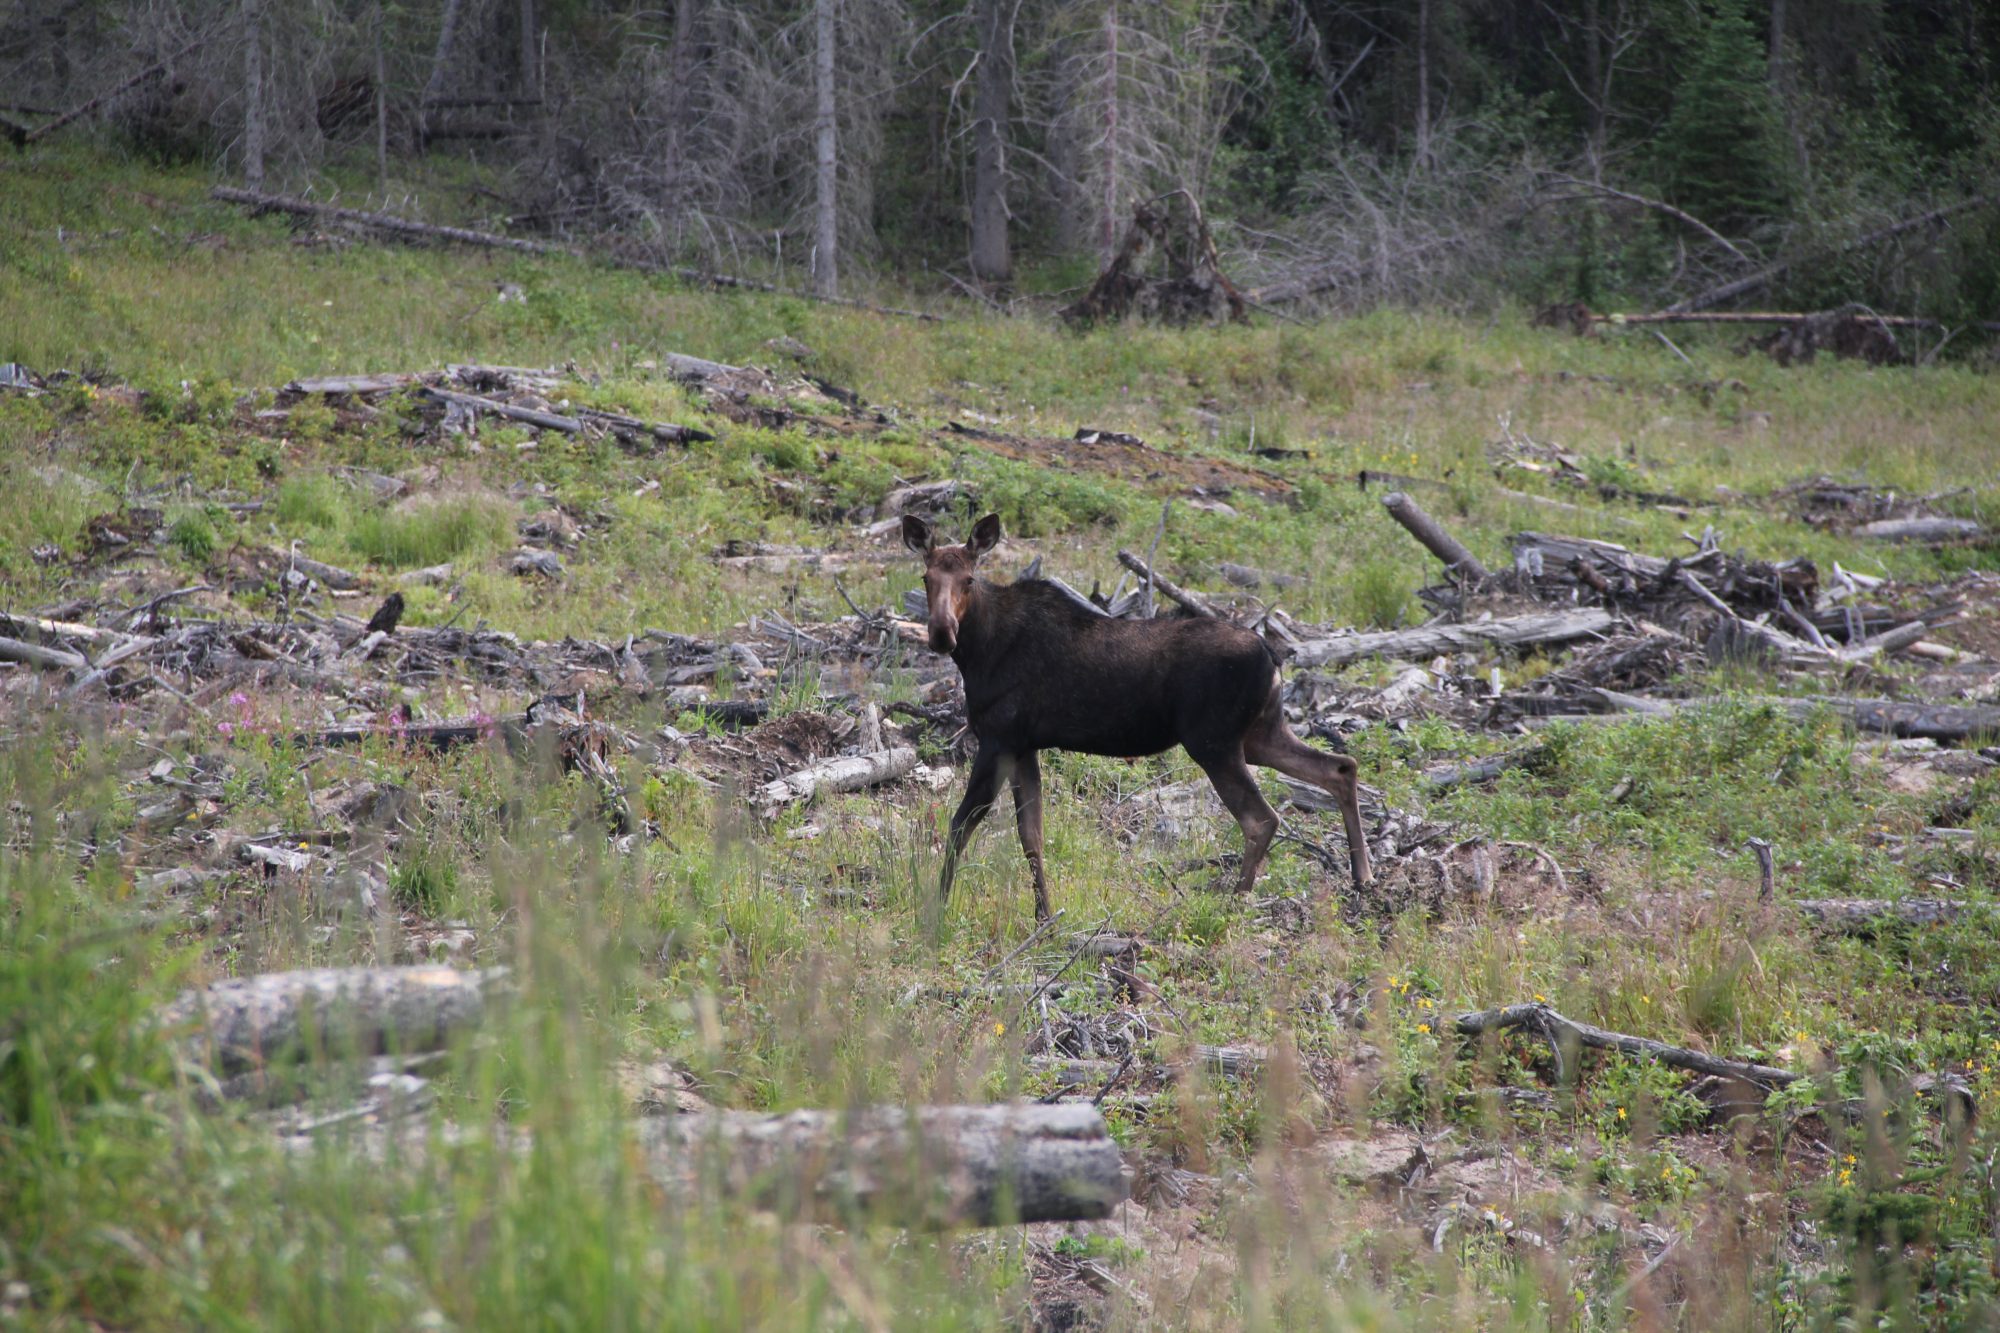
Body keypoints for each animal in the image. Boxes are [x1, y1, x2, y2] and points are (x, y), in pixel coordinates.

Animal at [912, 506, 1368, 912]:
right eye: (925, 577)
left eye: (969, 578)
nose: (941, 632)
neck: (977, 651)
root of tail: (1272, 656)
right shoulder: (1023, 746)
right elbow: (1032, 836)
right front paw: (1045, 919)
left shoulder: (997, 738)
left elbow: (960, 825)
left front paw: (936, 911)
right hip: (1260, 735)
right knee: (1340, 766)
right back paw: (1362, 876)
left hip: (1214, 741)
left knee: (1262, 818)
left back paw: (1237, 901)